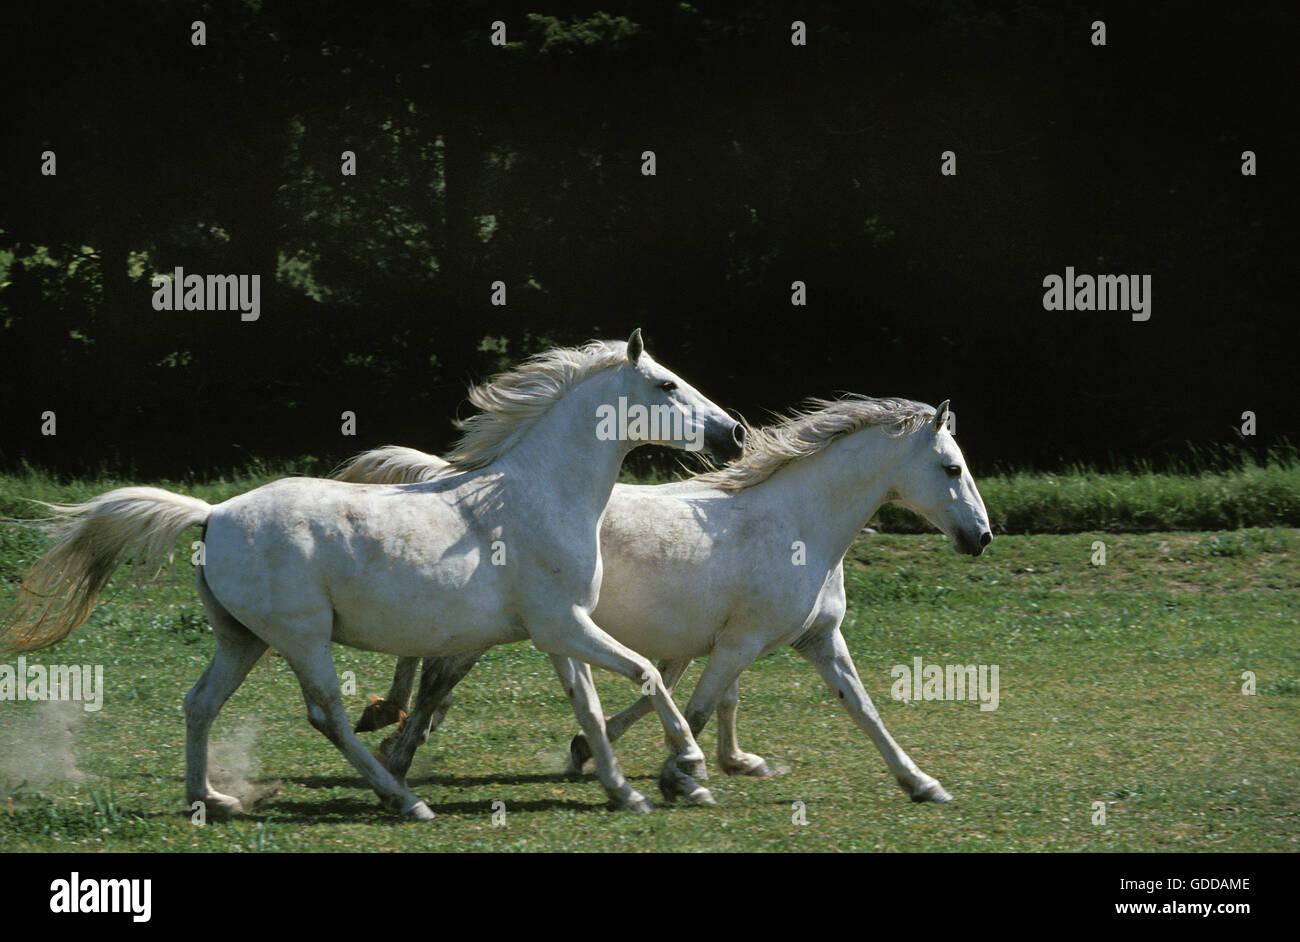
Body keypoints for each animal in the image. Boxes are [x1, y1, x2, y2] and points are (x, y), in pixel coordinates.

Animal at [0, 330, 747, 818]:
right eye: (665, 384)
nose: (733, 432)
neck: (537, 495)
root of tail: (211, 514)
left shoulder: (560, 632)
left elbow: (590, 708)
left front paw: (626, 791)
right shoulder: (564, 626)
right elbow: (649, 675)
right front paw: (688, 770)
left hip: (243, 639)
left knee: (200, 703)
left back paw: (210, 799)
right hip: (301, 638)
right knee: (325, 714)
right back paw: (403, 799)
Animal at [339, 395, 991, 802]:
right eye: (951, 467)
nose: (981, 537)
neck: (799, 527)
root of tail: (453, 480)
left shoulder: (814, 639)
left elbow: (861, 710)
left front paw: (922, 784)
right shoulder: (740, 641)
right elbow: (698, 705)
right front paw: (680, 775)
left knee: (432, 671)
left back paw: (393, 739)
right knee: (435, 674)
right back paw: (395, 748)